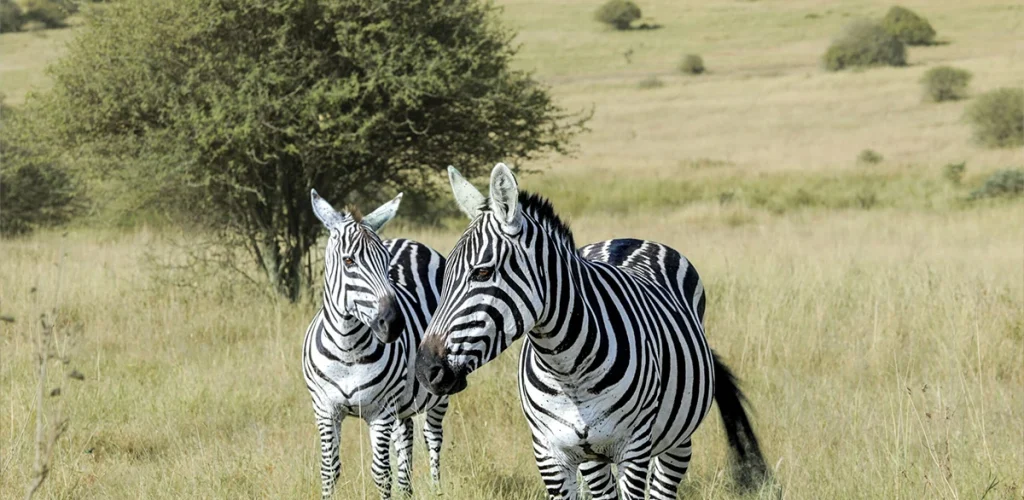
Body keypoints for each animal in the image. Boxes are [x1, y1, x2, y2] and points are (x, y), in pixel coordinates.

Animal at [303, 189, 449, 500]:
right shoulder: (324, 409)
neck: (347, 350)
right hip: (402, 402)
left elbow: (381, 474)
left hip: (438, 389)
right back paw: (408, 492)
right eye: (348, 262)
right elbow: (329, 470)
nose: (393, 323)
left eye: (386, 264)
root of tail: (410, 242)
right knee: (406, 439)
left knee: (432, 440)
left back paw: (436, 490)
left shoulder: (380, 412)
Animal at [415, 165, 769, 499]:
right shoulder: (551, 454)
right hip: (594, 459)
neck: (568, 372)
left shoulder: (633, 450)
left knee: (664, 487)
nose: (424, 370)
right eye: (444, 275)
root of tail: (629, 239)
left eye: (482, 272)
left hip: (676, 440)